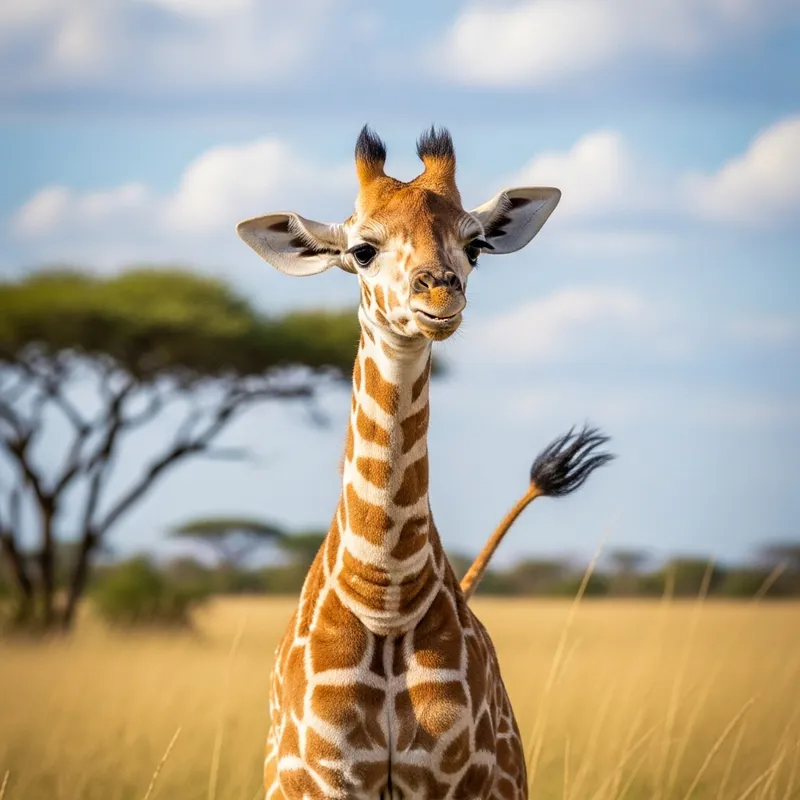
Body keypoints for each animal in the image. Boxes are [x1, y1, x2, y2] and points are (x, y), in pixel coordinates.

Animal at [237, 126, 613, 800]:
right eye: (362, 250)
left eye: (477, 245)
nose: (439, 294)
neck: (386, 592)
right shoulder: (325, 781)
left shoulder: (451, 780)